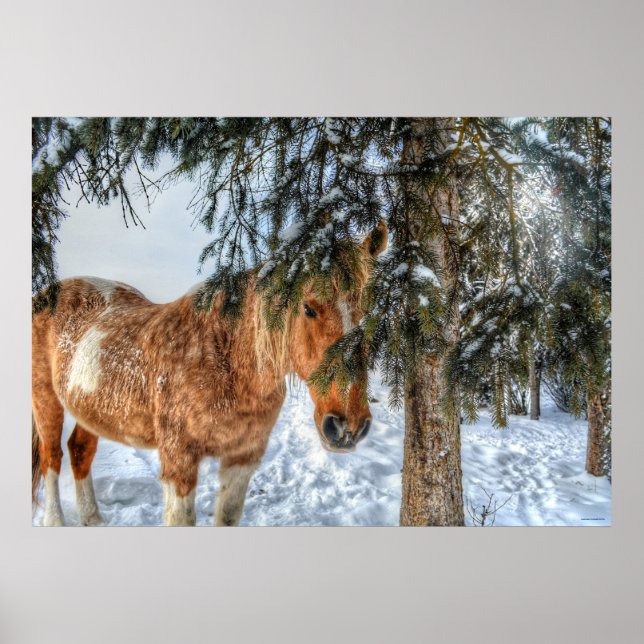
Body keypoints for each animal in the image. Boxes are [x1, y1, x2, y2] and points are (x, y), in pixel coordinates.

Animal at [31, 228, 387, 526]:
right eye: (309, 308)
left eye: (370, 312)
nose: (347, 426)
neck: (225, 361)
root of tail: (47, 292)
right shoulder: (179, 462)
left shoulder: (242, 459)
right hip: (46, 400)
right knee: (52, 458)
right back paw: (56, 522)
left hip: (89, 409)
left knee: (80, 452)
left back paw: (93, 519)